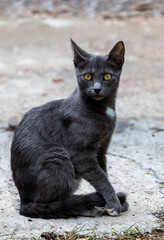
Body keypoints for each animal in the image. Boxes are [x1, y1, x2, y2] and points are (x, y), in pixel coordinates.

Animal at [10, 39, 129, 218]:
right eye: (87, 76)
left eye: (107, 76)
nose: (97, 88)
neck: (103, 109)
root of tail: (23, 201)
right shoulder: (80, 154)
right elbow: (100, 177)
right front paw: (113, 203)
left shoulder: (101, 150)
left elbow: (104, 174)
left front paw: (110, 199)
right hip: (57, 157)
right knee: (48, 203)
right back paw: (86, 206)